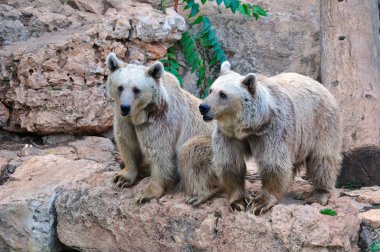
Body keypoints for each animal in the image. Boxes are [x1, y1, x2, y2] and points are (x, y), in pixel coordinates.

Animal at [105, 52, 212, 203]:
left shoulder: (161, 123)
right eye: (120, 87)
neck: (140, 116)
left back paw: (198, 195)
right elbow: (127, 144)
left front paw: (146, 193)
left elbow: (160, 154)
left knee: (191, 151)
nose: (125, 107)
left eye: (136, 89)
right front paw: (122, 177)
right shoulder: (125, 122)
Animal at [197, 61, 342, 215]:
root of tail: (320, 85)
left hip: (321, 123)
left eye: (223, 94)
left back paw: (318, 194)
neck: (250, 126)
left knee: (322, 159)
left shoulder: (273, 130)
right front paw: (238, 202)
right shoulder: (229, 135)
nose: (203, 107)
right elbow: (230, 162)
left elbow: (273, 162)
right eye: (211, 90)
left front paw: (260, 203)